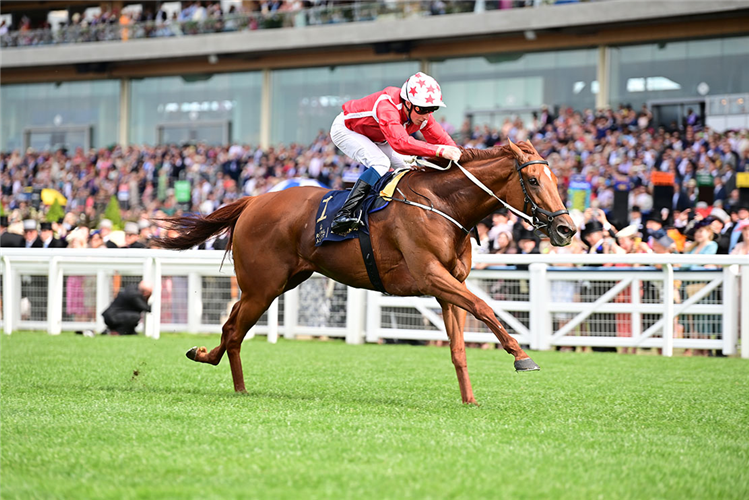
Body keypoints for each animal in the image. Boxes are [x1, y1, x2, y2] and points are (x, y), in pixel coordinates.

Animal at [156, 139, 572, 404]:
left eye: (556, 179)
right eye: (533, 180)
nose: (566, 229)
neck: (443, 205)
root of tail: (255, 199)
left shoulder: (448, 286)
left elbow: (458, 346)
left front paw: (469, 399)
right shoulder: (431, 276)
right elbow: (485, 308)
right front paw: (521, 355)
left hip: (278, 283)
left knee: (232, 328)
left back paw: (214, 365)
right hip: (262, 286)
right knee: (233, 330)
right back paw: (228, 377)